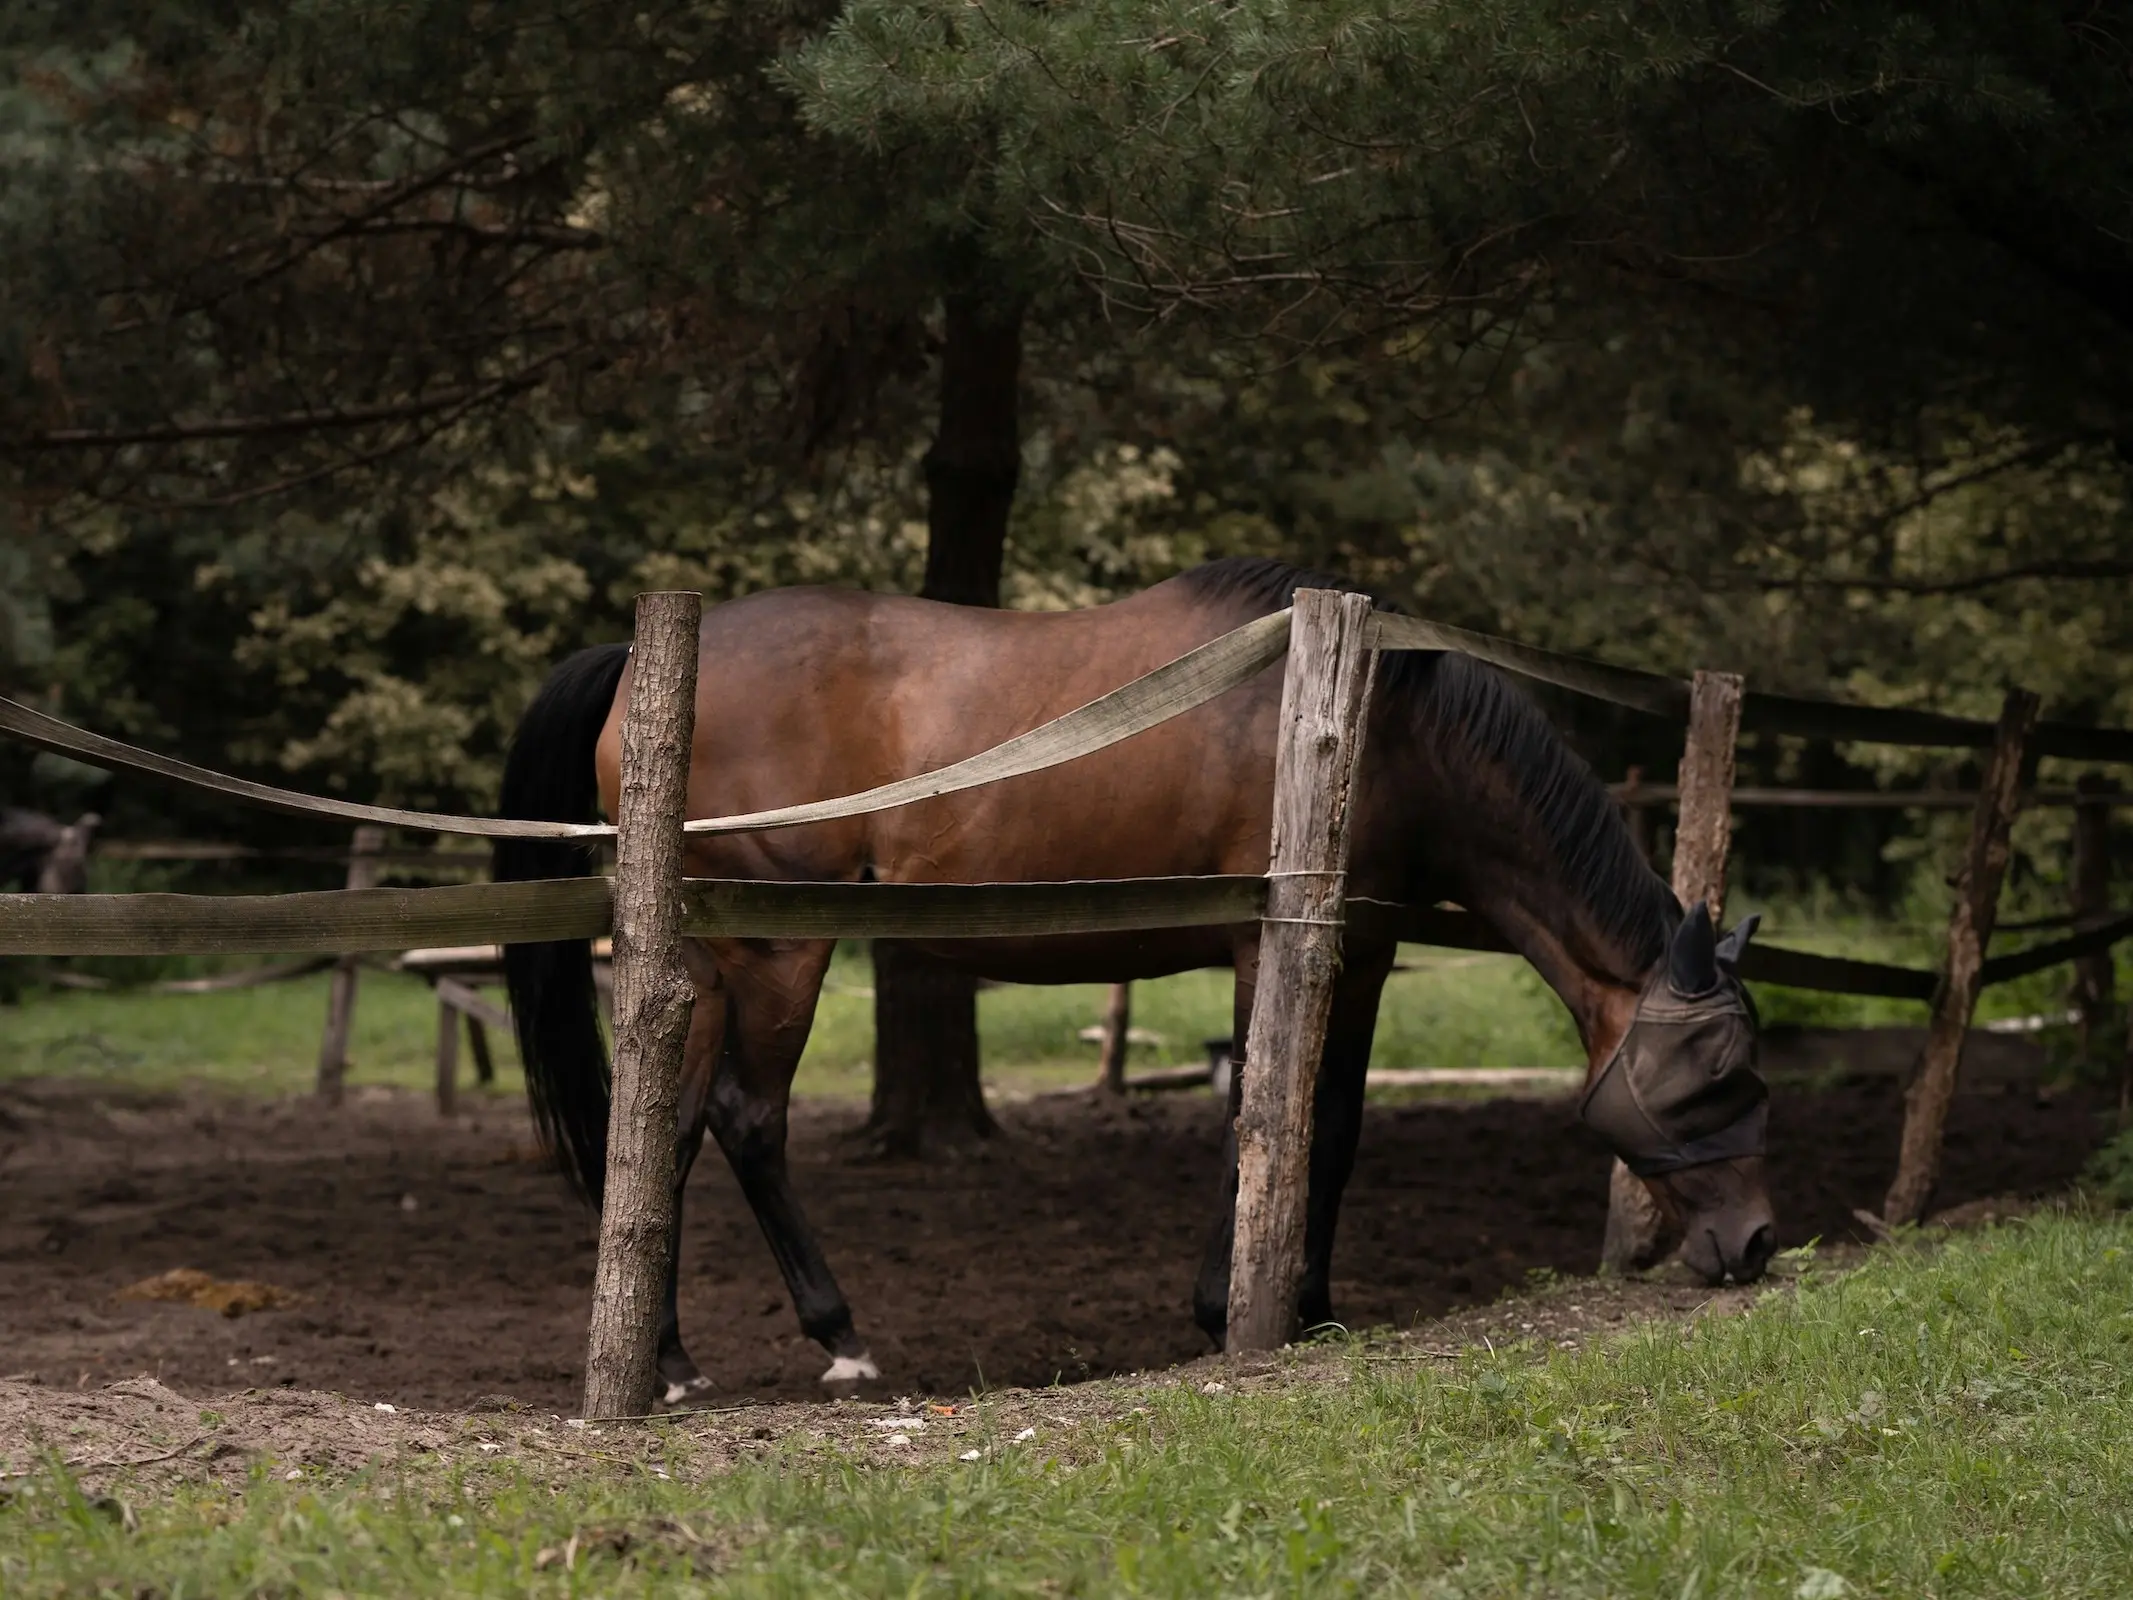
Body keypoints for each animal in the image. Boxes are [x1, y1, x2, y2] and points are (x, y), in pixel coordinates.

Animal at [490, 558, 1774, 1399]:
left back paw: (666, 1361)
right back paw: (836, 1338)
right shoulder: (1270, 948)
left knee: (669, 1129)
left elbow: (1335, 1128)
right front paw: (1231, 1312)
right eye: (1719, 1072)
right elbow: (1266, 1120)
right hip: (778, 954)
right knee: (750, 1120)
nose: (1758, 1244)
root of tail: (636, 664)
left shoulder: (1358, 956)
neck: (1380, 720)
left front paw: (1314, 1304)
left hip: (704, 966)